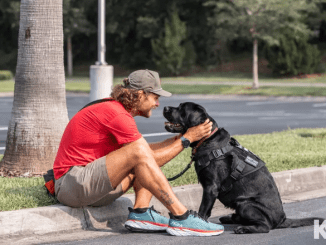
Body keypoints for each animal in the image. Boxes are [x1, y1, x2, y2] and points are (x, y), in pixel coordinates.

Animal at [163, 102, 324, 234]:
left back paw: (244, 228)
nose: (165, 107)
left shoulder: (210, 188)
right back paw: (230, 218)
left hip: (245, 204)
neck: (207, 139)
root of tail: (282, 219)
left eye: (181, 108)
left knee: (265, 226)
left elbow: (203, 210)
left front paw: (200, 224)